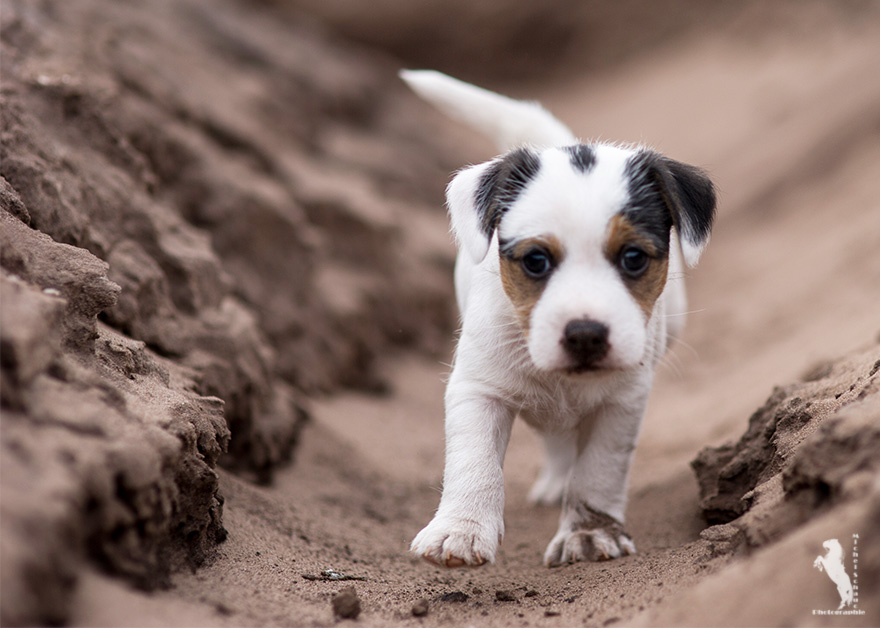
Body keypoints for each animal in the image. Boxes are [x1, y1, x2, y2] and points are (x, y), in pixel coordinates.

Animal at [402, 71, 720, 568]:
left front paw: (589, 533)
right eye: (536, 261)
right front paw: (460, 529)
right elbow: (474, 461)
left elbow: (599, 470)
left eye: (633, 258)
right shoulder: (478, 388)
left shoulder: (623, 401)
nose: (586, 334)